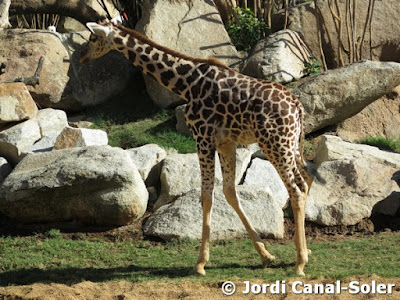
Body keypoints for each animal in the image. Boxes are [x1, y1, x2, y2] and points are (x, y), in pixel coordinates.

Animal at [79, 18, 312, 276]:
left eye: (93, 38)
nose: (81, 57)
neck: (186, 83)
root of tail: (297, 107)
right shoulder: (226, 143)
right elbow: (229, 192)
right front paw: (265, 255)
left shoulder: (203, 138)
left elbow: (206, 196)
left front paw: (200, 263)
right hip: (292, 145)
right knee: (306, 179)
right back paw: (304, 250)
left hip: (275, 144)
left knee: (296, 189)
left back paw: (300, 262)